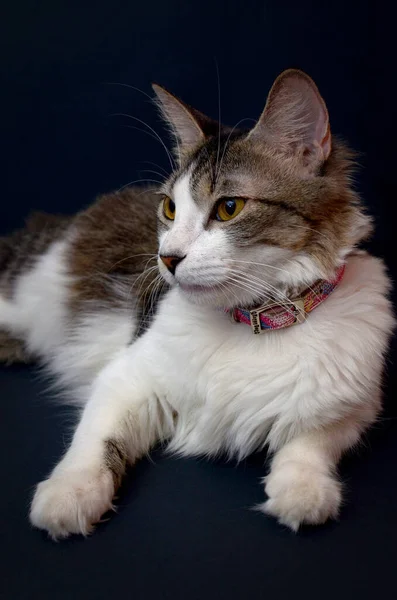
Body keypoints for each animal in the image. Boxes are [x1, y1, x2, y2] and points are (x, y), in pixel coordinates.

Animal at [0, 68, 392, 536]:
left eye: (228, 208)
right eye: (170, 208)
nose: (167, 258)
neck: (255, 320)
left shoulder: (355, 405)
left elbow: (311, 441)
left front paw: (302, 490)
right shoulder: (126, 376)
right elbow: (94, 440)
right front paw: (71, 492)